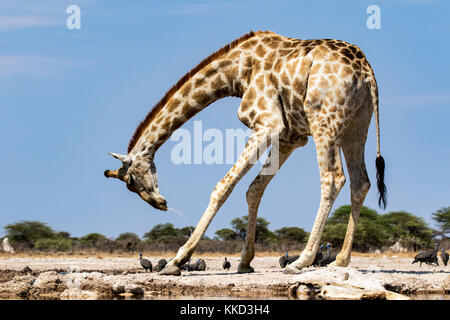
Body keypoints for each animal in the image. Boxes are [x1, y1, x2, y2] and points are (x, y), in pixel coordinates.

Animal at [103, 30, 384, 276]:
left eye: (131, 180)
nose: (160, 204)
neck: (236, 72)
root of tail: (366, 71)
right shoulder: (291, 136)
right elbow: (253, 190)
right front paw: (245, 261)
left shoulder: (268, 123)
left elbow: (223, 187)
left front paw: (177, 261)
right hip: (357, 124)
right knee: (361, 182)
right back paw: (341, 259)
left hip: (324, 119)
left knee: (333, 178)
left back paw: (301, 261)